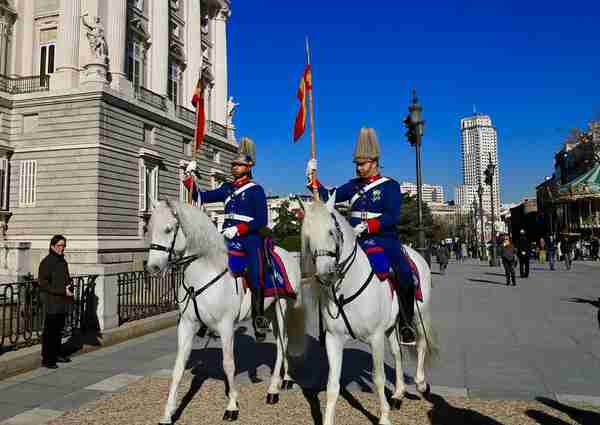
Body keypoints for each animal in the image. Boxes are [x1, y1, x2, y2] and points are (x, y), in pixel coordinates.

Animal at [145, 200, 304, 422]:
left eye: (168, 229)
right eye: (149, 229)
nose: (152, 268)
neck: (203, 272)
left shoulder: (226, 325)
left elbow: (228, 364)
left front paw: (232, 406)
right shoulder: (186, 324)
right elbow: (178, 367)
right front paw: (168, 413)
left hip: (282, 306)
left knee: (282, 344)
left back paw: (274, 388)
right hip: (270, 311)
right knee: (285, 340)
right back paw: (286, 379)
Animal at [302, 195, 438, 424]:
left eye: (331, 231)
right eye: (307, 236)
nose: (325, 275)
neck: (346, 286)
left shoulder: (375, 338)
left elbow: (378, 378)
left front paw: (383, 417)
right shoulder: (333, 339)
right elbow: (332, 385)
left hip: (422, 315)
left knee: (420, 344)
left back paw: (420, 383)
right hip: (391, 327)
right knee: (397, 353)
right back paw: (399, 393)